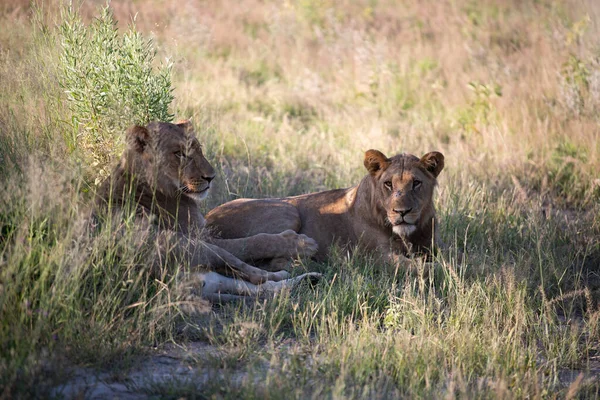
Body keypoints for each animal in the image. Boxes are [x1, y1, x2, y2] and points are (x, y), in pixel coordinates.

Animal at [97, 122, 318, 304]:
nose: (211, 177)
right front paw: (299, 243)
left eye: (199, 150)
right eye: (180, 153)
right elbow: (254, 242)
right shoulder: (204, 236)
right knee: (251, 272)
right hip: (192, 245)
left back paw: (305, 279)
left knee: (259, 286)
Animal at [206, 150, 446, 266]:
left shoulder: (433, 247)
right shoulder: (377, 257)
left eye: (416, 183)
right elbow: (425, 269)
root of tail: (208, 216)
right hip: (288, 210)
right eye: (388, 184)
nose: (402, 212)